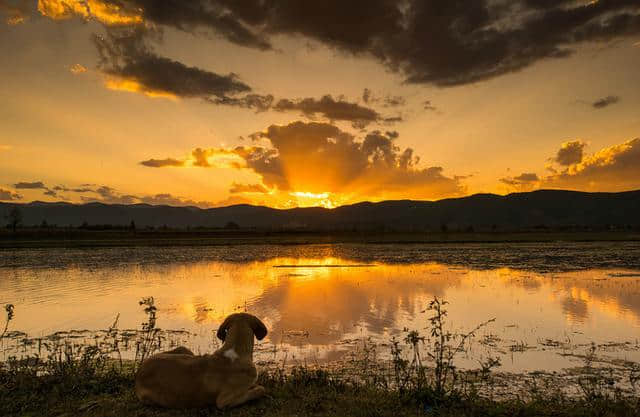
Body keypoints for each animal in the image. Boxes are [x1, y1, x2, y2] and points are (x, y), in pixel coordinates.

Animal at [135, 312, 268, 406]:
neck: (234, 350)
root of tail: (139, 372)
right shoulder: (224, 401)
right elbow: (261, 389)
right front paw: (256, 388)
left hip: (183, 349)